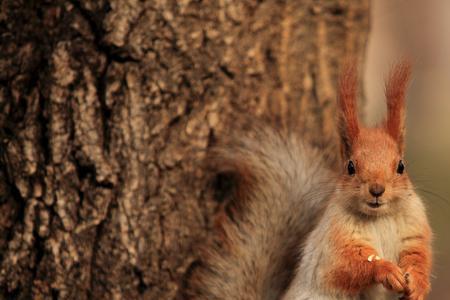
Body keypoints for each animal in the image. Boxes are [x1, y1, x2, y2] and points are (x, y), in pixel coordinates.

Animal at [186, 61, 432, 300]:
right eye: (350, 167)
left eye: (401, 166)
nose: (377, 190)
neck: (379, 218)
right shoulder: (334, 242)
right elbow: (347, 267)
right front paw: (385, 270)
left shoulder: (415, 230)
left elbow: (420, 258)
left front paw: (418, 284)